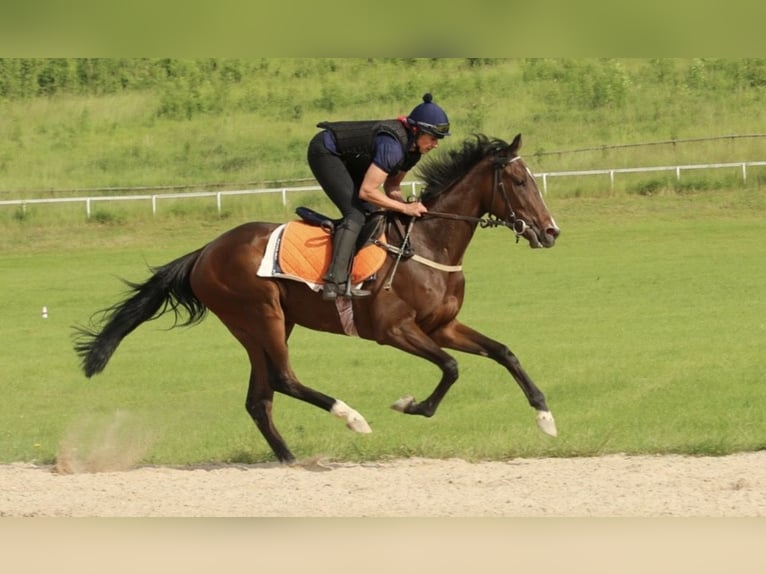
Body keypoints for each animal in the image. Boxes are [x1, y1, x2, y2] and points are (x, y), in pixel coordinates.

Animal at [73, 133, 561, 464]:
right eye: (519, 180)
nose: (551, 231)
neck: (428, 243)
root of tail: (205, 252)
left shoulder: (441, 325)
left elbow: (503, 352)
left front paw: (545, 417)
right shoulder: (394, 330)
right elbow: (451, 367)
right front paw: (411, 405)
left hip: (264, 325)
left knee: (260, 397)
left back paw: (290, 460)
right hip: (260, 315)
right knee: (284, 380)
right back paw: (351, 417)